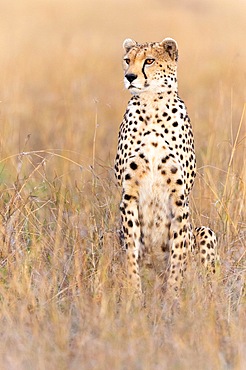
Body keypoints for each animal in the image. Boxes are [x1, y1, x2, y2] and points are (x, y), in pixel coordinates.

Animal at [115, 38, 217, 298]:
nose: (129, 77)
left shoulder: (179, 196)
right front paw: (134, 293)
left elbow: (178, 252)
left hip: (205, 232)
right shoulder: (128, 195)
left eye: (149, 61)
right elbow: (131, 250)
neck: (151, 105)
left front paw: (173, 295)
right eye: (127, 60)